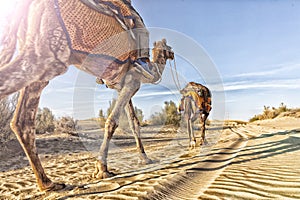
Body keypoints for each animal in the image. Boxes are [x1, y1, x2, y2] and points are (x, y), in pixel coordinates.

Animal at [0, 0, 173, 191]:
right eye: (168, 48)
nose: (172, 54)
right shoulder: (133, 81)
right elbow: (112, 121)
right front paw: (102, 169)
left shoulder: (123, 85)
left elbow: (134, 122)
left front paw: (144, 158)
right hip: (50, 56)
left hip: (39, 61)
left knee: (22, 121)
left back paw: (48, 183)